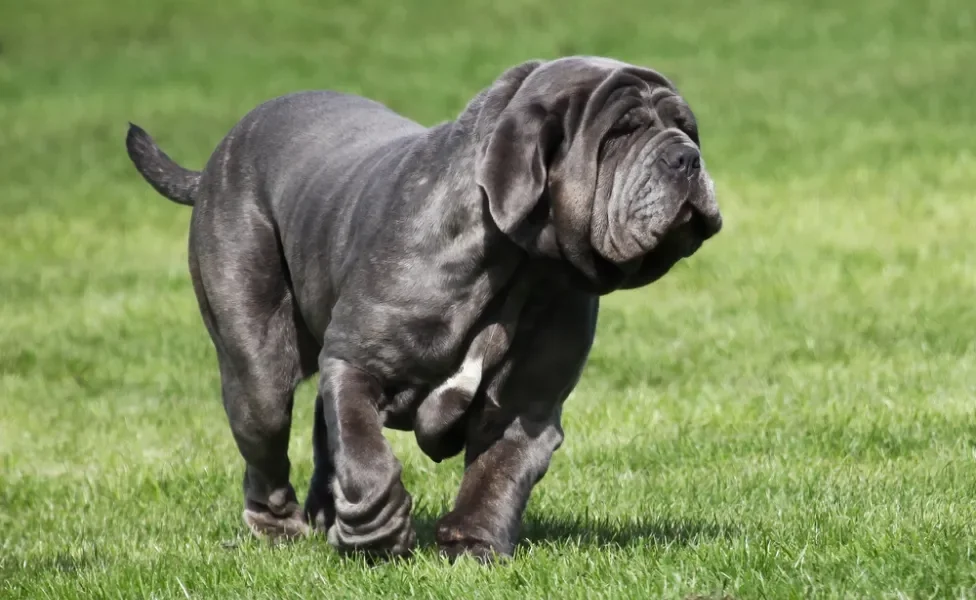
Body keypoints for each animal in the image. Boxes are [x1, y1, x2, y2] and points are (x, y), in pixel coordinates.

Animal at [124, 56, 724, 564]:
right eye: (620, 133)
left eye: (688, 128)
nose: (686, 156)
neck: (525, 265)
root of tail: (215, 161)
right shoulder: (358, 362)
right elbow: (366, 454)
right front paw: (379, 533)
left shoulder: (528, 408)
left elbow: (497, 477)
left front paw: (472, 545)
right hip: (257, 371)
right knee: (269, 441)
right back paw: (282, 530)